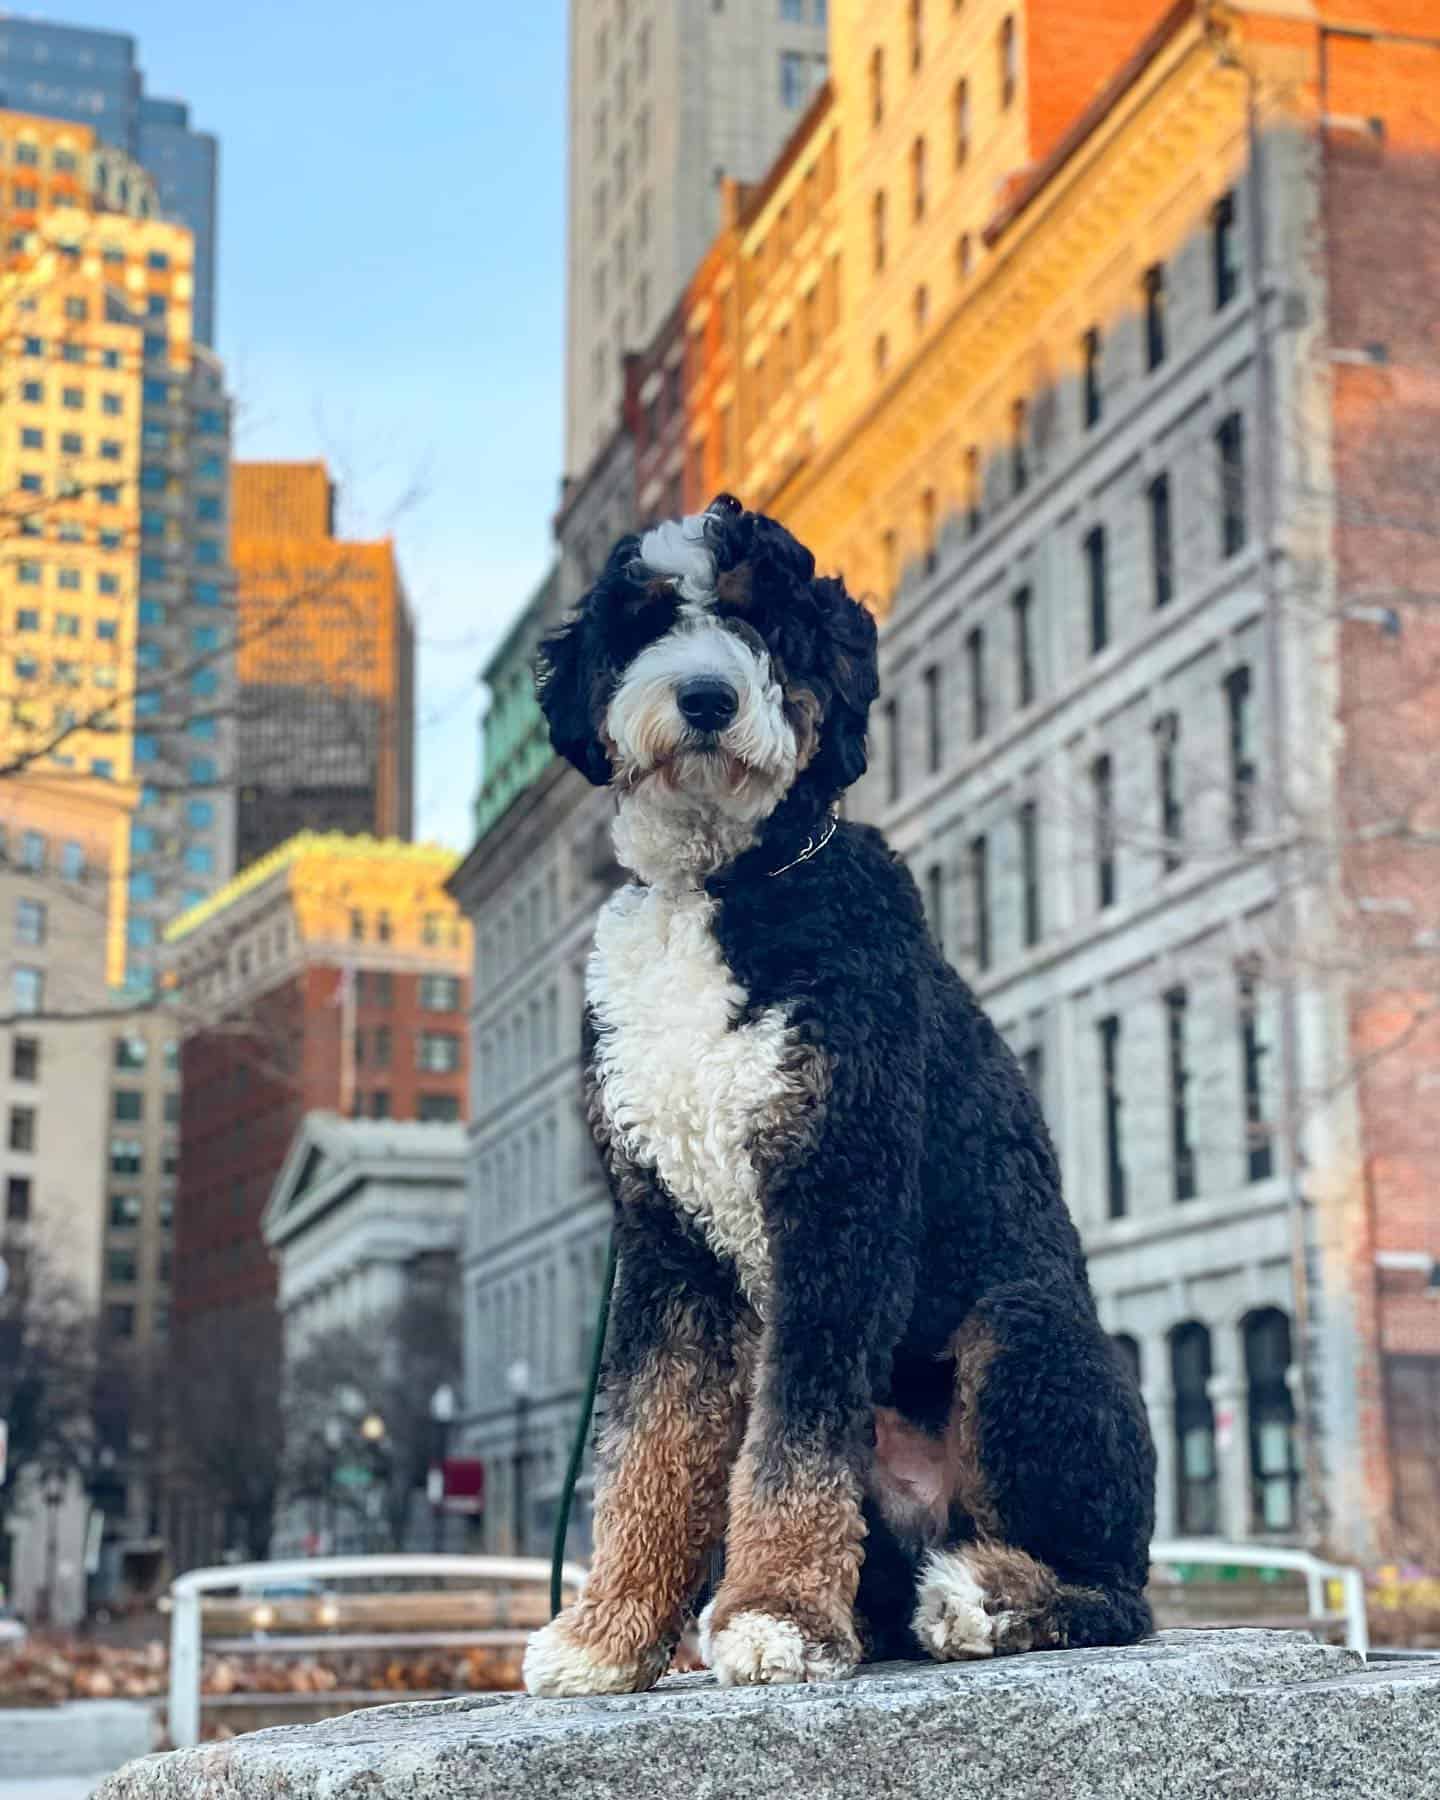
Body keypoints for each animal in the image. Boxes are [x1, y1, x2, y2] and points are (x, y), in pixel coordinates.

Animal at [522, 500, 1152, 1692]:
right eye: (648, 619)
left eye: (766, 621)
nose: (707, 697)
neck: (722, 886)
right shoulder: (665, 1243)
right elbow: (649, 1442)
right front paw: (610, 1629)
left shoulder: (835, 1201)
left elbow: (798, 1434)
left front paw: (775, 1613)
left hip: (1026, 1335)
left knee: (1115, 1592)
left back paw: (986, 1598)